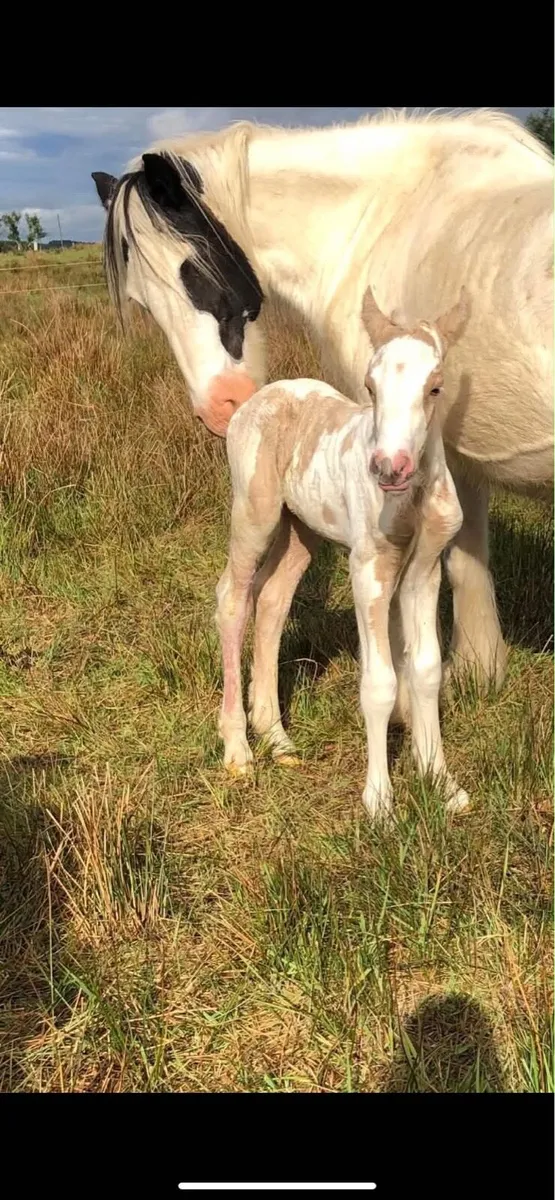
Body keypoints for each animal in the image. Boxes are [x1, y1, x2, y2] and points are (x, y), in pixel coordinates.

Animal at [92, 108, 554, 696]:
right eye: (143, 304)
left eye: (194, 271)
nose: (221, 408)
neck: (381, 215)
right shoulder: (450, 452)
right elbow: (467, 554)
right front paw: (479, 670)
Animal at [216, 287, 471, 818]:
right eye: (370, 387)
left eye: (435, 388)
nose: (389, 468)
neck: (413, 498)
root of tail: (258, 398)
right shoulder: (368, 568)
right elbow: (380, 683)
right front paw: (380, 802)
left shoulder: (424, 569)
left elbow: (426, 669)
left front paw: (441, 781)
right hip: (255, 511)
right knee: (233, 597)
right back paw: (239, 748)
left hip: (301, 528)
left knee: (273, 597)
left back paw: (277, 737)